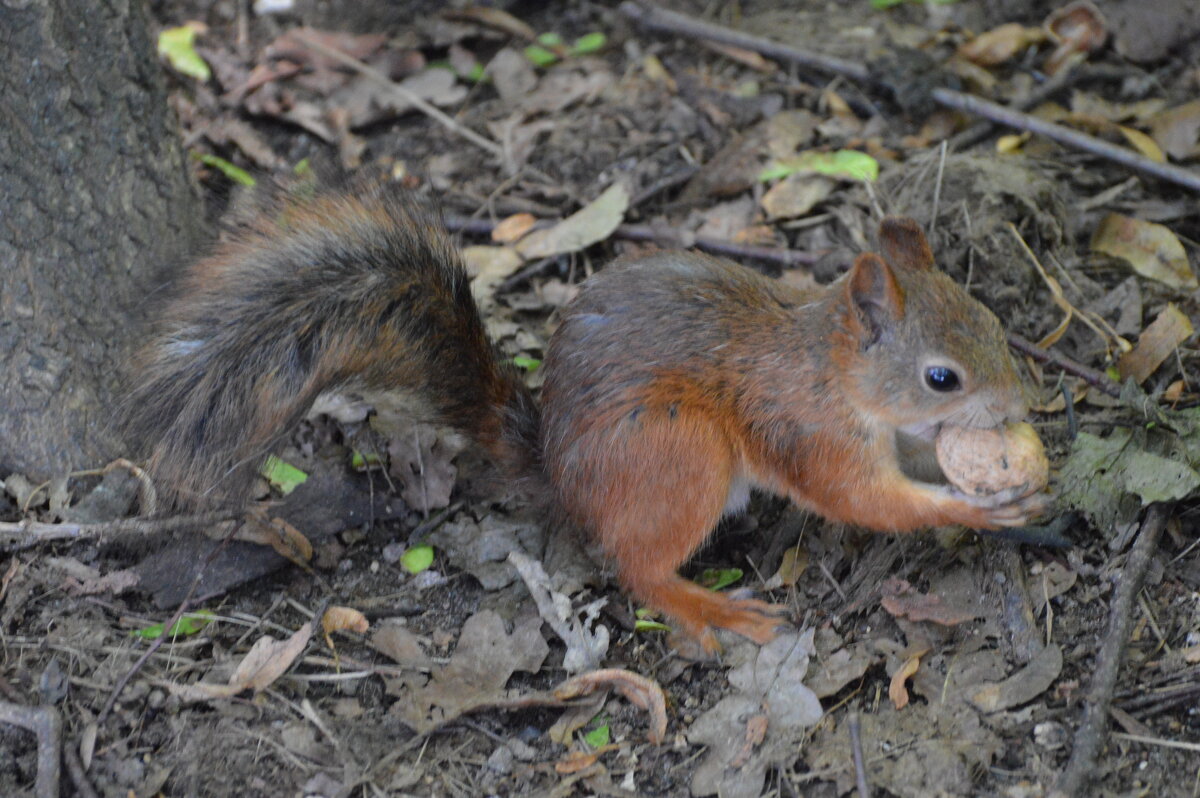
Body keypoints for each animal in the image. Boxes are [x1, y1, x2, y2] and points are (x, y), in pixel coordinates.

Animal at [126, 183, 1046, 652]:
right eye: (941, 377)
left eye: (995, 321)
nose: (1019, 405)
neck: (835, 372)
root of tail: (560, 477)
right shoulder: (808, 434)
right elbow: (869, 501)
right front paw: (981, 508)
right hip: (678, 449)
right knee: (636, 567)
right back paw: (710, 610)